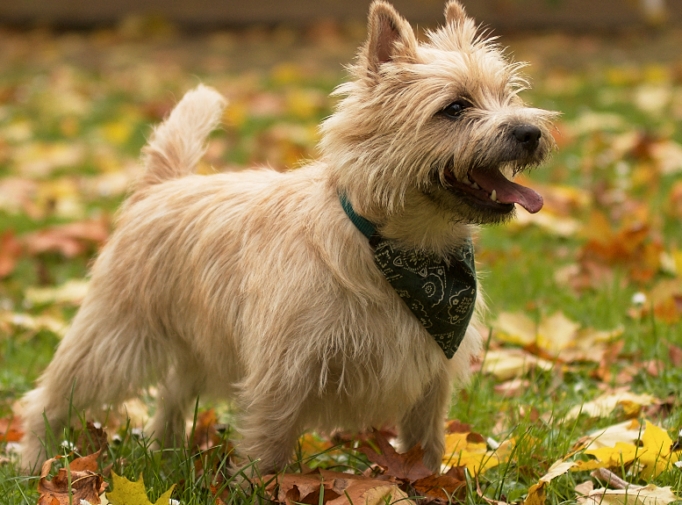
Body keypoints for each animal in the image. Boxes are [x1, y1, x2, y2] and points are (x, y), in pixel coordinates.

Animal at [18, 0, 556, 474]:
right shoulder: (284, 373)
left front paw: (428, 485)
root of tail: (161, 185)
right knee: (49, 398)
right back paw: (33, 465)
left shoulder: (430, 380)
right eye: (455, 108)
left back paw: (167, 454)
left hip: (196, 344)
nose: (529, 131)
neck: (404, 251)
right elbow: (268, 448)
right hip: (114, 339)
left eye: (509, 96)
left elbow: (425, 445)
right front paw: (257, 486)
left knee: (171, 393)